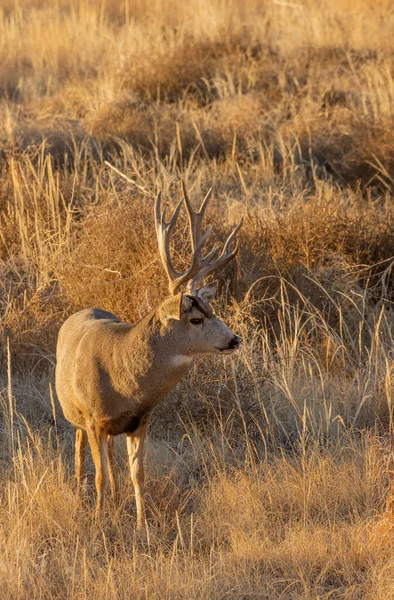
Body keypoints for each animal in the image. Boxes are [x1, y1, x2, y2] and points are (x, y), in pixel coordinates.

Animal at [53, 184, 242, 536]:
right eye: (196, 318)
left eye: (212, 309)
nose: (234, 339)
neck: (124, 383)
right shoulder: (93, 419)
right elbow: (99, 475)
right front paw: (99, 520)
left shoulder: (141, 420)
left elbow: (137, 474)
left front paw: (142, 526)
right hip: (75, 414)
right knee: (80, 452)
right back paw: (82, 495)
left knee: (112, 460)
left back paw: (115, 500)